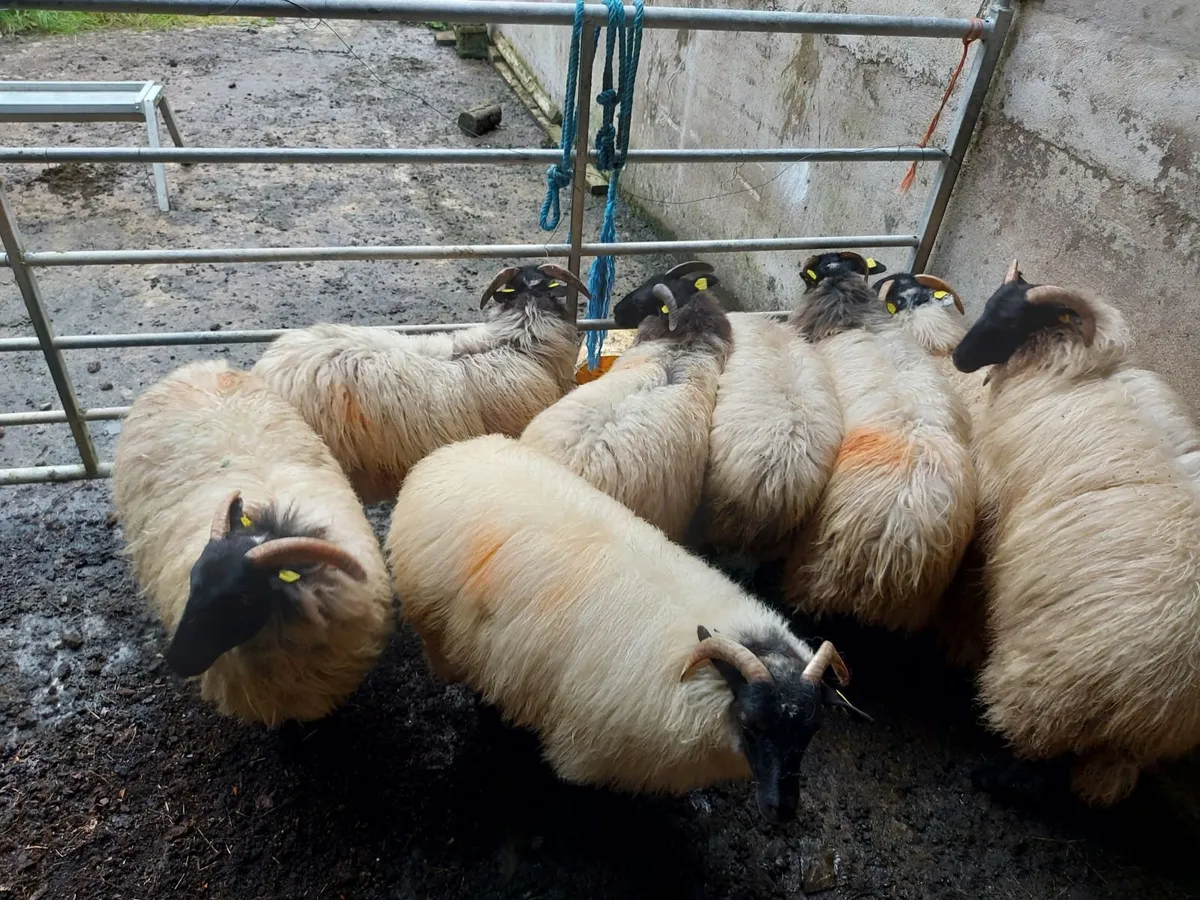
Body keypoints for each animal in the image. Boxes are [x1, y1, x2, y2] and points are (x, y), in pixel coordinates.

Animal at [385, 434, 871, 822]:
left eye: (811, 731)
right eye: (751, 724)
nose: (782, 812)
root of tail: (449, 453)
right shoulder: (588, 748)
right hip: (438, 628)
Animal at [952, 261, 1200, 807]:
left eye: (1012, 321)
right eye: (988, 305)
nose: (959, 358)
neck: (1063, 371)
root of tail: (1174, 696)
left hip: (1058, 685)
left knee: (1039, 754)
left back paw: (995, 775)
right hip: (1119, 735)